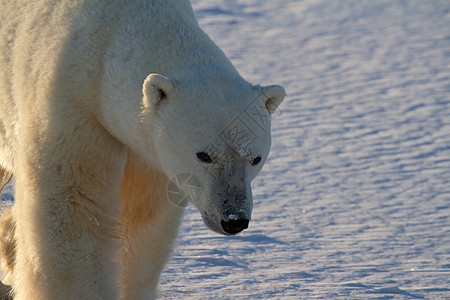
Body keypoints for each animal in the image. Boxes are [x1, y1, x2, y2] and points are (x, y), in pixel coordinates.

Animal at [0, 1, 284, 298]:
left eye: (255, 159)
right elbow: (74, 208)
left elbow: (142, 218)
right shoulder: (72, 105)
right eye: (204, 155)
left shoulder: (149, 152)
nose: (234, 219)